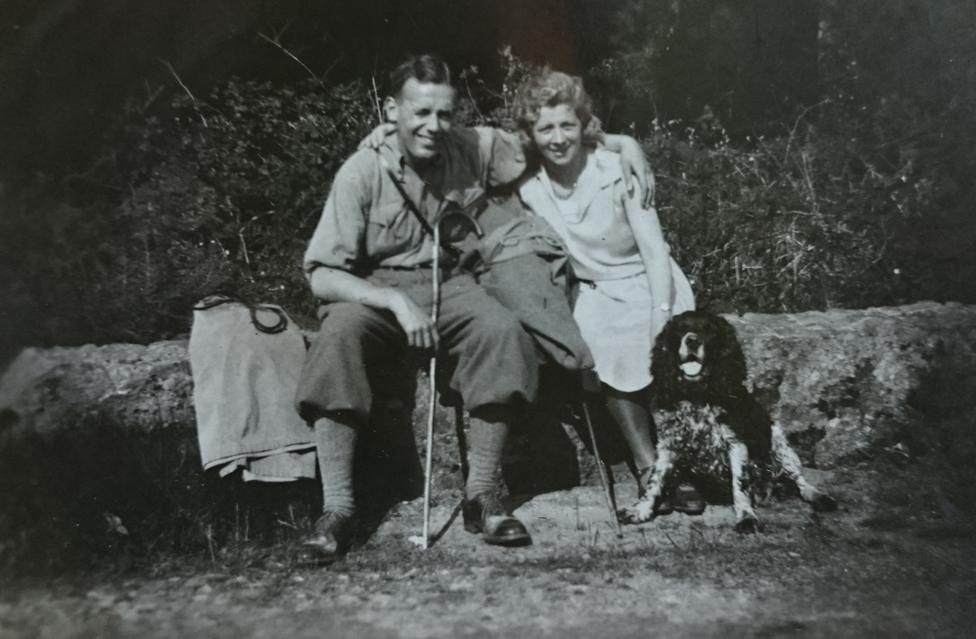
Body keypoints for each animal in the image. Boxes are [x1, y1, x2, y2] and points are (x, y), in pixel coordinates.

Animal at [616, 312, 840, 532]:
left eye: (709, 330)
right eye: (680, 328)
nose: (692, 340)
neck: (696, 394)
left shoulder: (735, 442)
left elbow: (739, 483)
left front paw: (746, 516)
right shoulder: (669, 443)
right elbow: (654, 481)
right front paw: (640, 510)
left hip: (779, 441)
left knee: (800, 479)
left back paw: (818, 496)